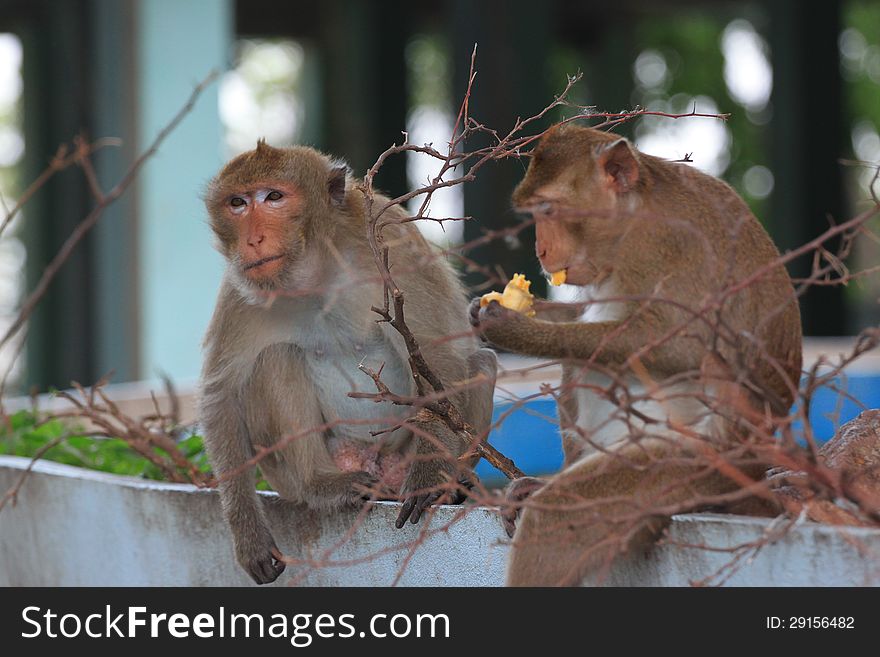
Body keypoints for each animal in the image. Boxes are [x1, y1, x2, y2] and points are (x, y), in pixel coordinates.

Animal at [202, 141, 498, 580]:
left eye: (273, 197)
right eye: (237, 203)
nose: (253, 240)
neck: (316, 271)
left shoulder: (393, 245)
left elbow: (437, 350)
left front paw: (429, 473)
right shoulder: (239, 291)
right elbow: (220, 396)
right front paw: (248, 534)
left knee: (480, 362)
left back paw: (453, 482)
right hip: (294, 471)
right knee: (276, 358)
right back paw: (321, 484)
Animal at [468, 123, 804, 584]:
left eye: (549, 210)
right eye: (534, 212)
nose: (541, 251)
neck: (633, 215)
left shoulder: (665, 243)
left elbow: (684, 346)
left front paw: (514, 329)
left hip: (692, 466)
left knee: (558, 515)